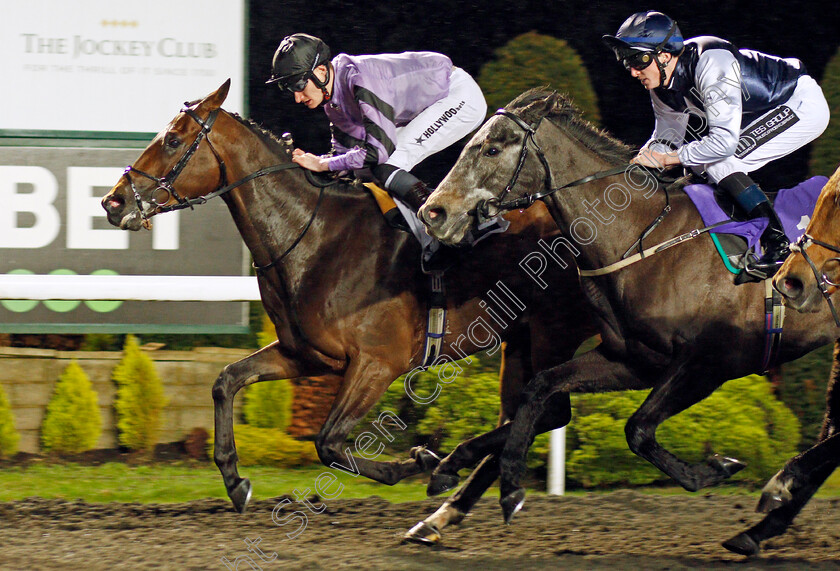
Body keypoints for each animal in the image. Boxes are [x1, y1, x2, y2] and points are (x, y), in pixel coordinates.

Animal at [98, 80, 596, 536]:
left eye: (173, 139)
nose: (112, 201)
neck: (314, 236)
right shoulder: (306, 354)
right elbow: (226, 381)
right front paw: (236, 482)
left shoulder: (377, 362)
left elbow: (329, 443)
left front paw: (418, 460)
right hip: (521, 339)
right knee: (527, 413)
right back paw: (445, 509)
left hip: (553, 331)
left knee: (547, 409)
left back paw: (448, 476)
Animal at [420, 87, 840, 556]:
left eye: (492, 147)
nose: (433, 212)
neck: (644, 236)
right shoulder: (637, 360)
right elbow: (540, 390)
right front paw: (476, 475)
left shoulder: (712, 363)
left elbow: (636, 429)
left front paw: (716, 469)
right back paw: (759, 527)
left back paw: (776, 493)